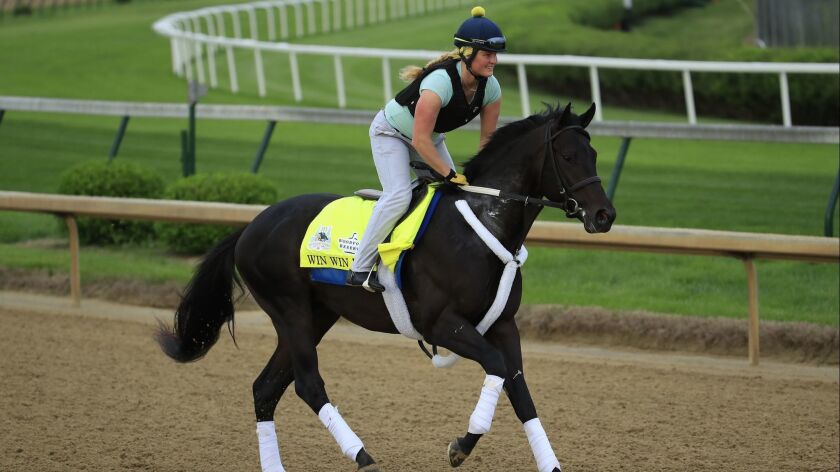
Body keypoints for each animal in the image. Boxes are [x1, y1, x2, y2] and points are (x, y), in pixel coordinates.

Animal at [158, 101, 616, 470]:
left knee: (266, 389)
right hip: (291, 312)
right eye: (568, 155)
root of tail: (249, 227)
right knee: (307, 384)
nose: (604, 215)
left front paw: (549, 463)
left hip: (315, 316)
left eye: (594, 154)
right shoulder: (442, 323)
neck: (481, 224)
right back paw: (363, 456)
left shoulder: (504, 324)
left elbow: (519, 389)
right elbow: (498, 368)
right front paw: (460, 446)